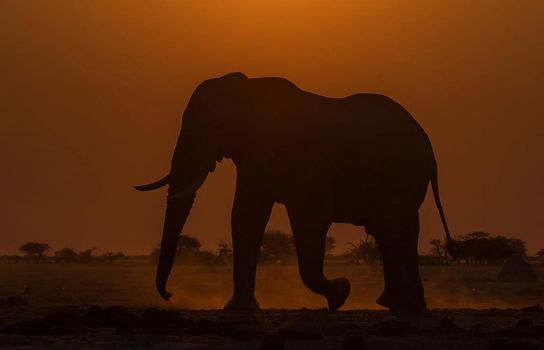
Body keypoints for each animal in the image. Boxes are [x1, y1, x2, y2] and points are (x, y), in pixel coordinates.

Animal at [136, 71, 454, 312]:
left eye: (214, 126)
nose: (169, 295)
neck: (248, 89)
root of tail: (429, 146)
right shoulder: (255, 157)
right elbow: (245, 216)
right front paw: (238, 310)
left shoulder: (305, 160)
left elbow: (310, 218)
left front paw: (340, 294)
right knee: (392, 231)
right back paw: (401, 305)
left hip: (403, 175)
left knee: (393, 228)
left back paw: (400, 305)